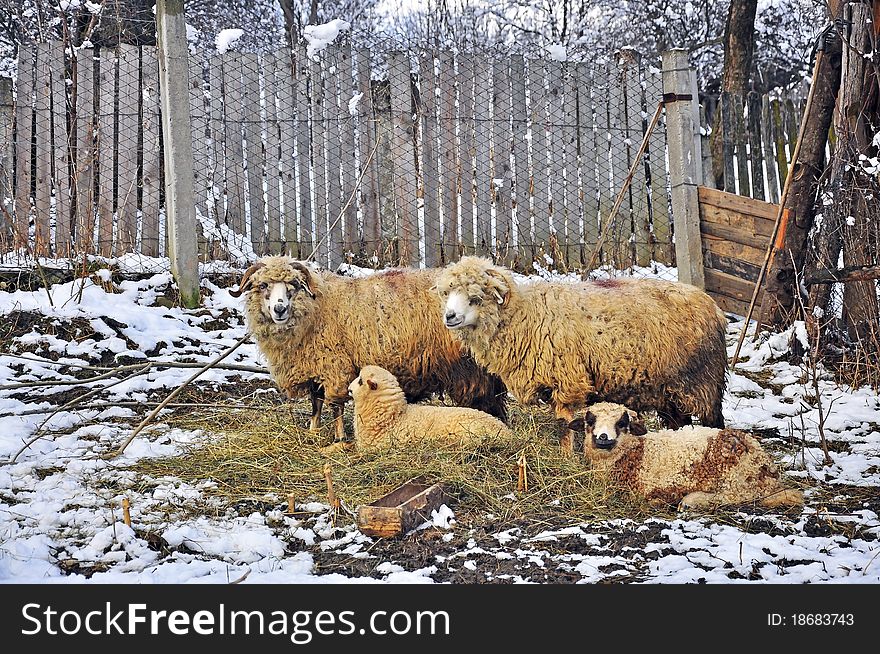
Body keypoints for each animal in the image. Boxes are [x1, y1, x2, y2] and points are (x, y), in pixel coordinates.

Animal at [434, 258, 728, 456]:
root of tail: (713, 307)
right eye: (447, 293)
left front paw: (566, 457)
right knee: (679, 422)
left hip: (702, 382)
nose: (449, 317)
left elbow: (564, 425)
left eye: (475, 297)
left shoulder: (567, 380)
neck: (523, 317)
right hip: (668, 389)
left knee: (713, 420)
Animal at [572, 400, 804, 512]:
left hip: (738, 478)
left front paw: (661, 501)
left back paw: (691, 501)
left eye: (622, 423)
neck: (634, 452)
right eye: (590, 421)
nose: (603, 438)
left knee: (739, 497)